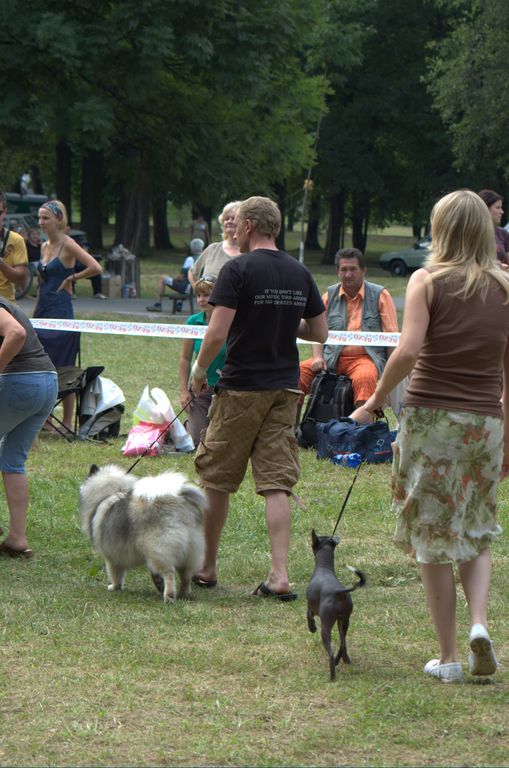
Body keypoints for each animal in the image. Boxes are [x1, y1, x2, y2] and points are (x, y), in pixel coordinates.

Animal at [78, 462, 205, 608]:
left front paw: (114, 587)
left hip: (158, 549)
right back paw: (183, 594)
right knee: (186, 576)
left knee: (169, 573)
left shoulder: (112, 556)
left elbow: (115, 574)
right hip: (189, 552)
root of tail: (178, 505)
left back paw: (169, 596)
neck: (109, 494)